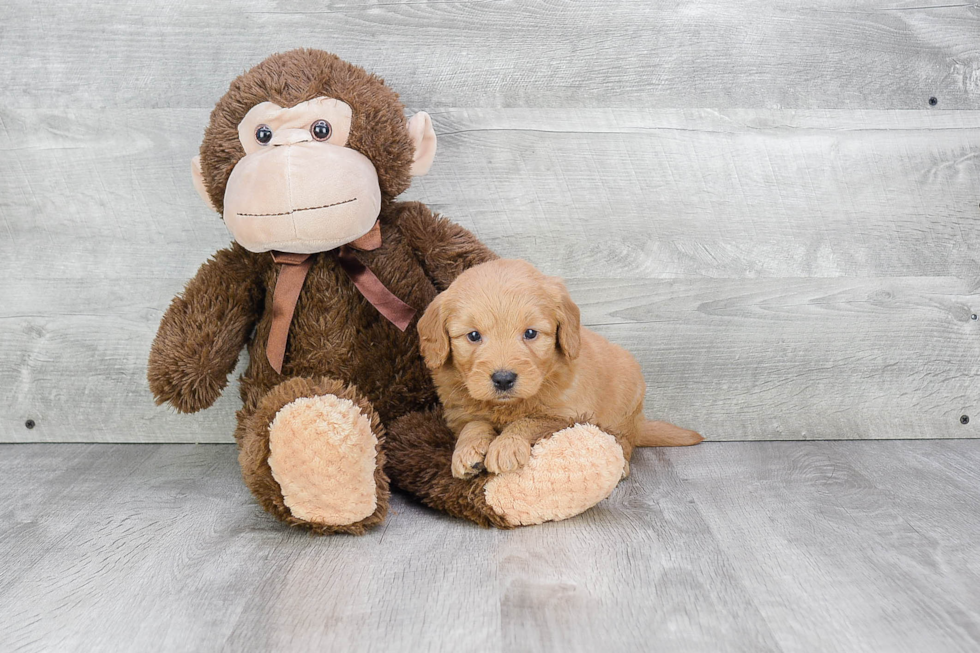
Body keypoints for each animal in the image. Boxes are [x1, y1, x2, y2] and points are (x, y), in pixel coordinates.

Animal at [418, 256, 700, 478]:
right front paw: (467, 451)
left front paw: (506, 445)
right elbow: (473, 424)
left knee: (623, 442)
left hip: (625, 407)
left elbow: (530, 421)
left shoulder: (567, 415)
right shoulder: (460, 412)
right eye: (474, 336)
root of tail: (639, 422)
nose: (503, 379)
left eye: (530, 333)